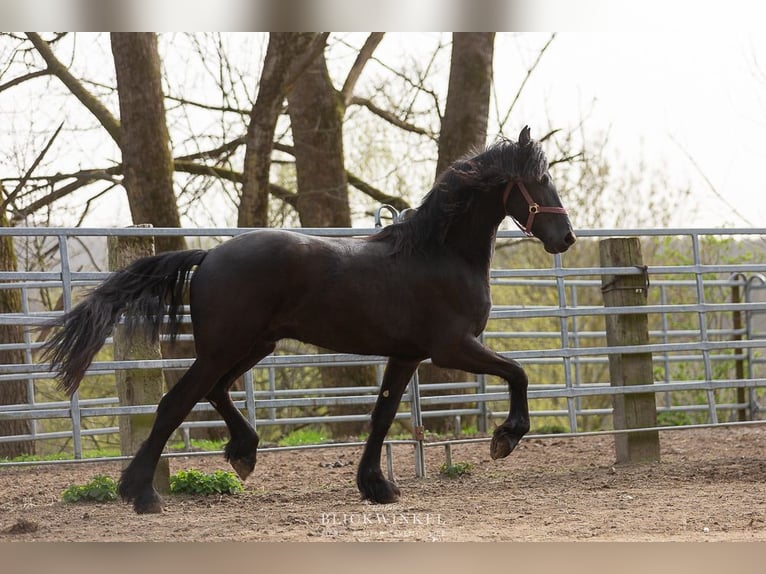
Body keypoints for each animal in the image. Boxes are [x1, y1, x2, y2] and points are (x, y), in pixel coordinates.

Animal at [42, 126, 576, 514]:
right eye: (538, 180)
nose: (566, 237)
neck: (439, 254)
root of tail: (209, 255)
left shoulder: (405, 356)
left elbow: (382, 416)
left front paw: (376, 486)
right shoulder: (452, 347)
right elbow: (518, 372)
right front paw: (505, 438)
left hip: (254, 346)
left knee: (215, 391)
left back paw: (243, 453)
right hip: (225, 347)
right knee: (176, 403)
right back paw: (143, 494)